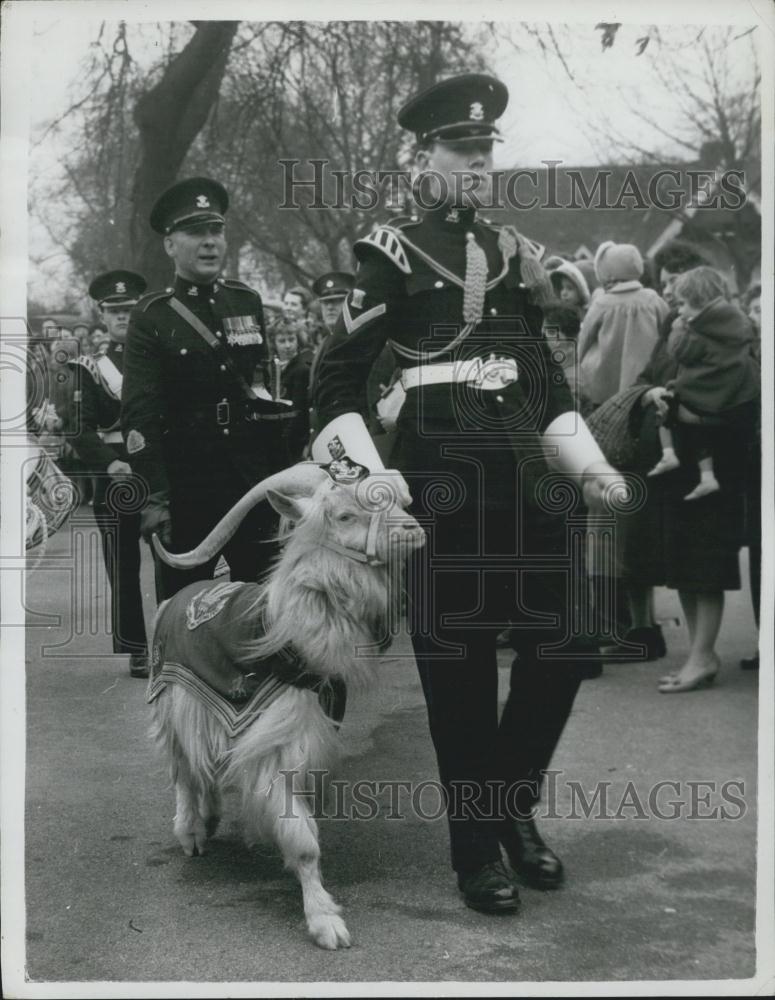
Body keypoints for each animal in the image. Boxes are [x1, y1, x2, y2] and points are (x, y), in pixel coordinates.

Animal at [146, 460, 424, 944]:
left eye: (400, 501)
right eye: (345, 515)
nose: (414, 530)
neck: (288, 632)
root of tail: (178, 597)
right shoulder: (272, 745)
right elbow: (303, 840)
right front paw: (325, 920)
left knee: (206, 768)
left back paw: (212, 816)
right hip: (174, 701)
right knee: (184, 771)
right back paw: (191, 832)